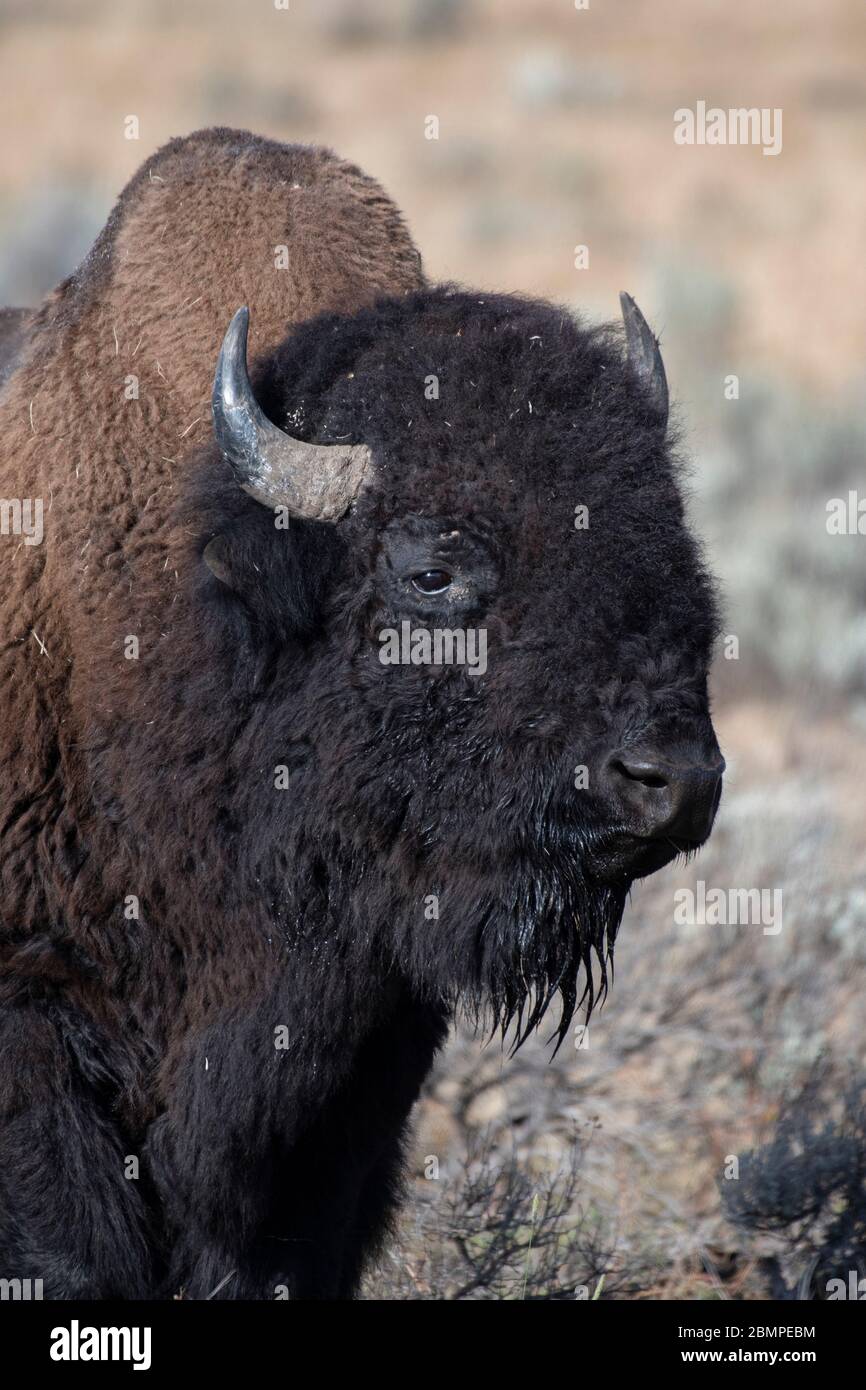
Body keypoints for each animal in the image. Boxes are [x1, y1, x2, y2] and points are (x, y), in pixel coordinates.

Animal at [0, 125, 722, 1295]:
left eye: (671, 544)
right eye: (431, 570)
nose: (673, 780)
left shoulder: (357, 1068)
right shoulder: (34, 1021)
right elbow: (70, 1249)